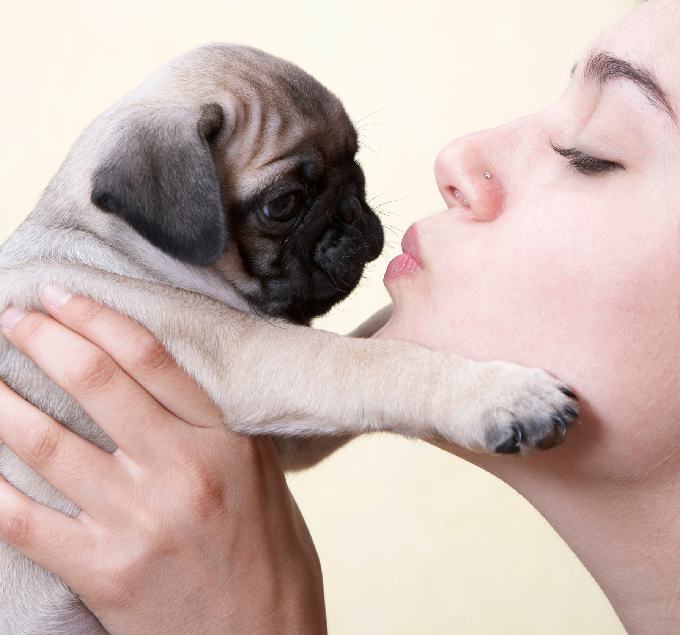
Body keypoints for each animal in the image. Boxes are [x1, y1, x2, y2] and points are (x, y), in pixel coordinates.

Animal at [0, 43, 580, 632]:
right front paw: (499, 393)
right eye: (282, 205)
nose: (353, 209)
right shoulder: (255, 359)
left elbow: (378, 333)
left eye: (356, 160)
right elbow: (377, 361)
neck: (118, 247)